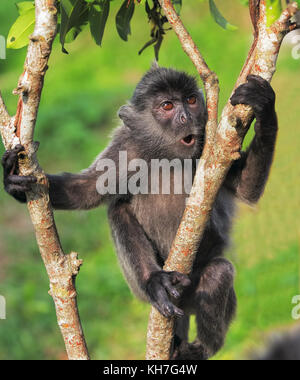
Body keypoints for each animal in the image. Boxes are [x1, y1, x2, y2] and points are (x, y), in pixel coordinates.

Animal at [1, 67, 278, 360]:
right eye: (167, 106)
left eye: (191, 100)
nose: (186, 117)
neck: (167, 156)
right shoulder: (128, 147)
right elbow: (86, 191)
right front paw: (13, 182)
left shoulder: (212, 144)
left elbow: (245, 188)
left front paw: (264, 106)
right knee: (118, 209)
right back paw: (154, 282)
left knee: (218, 274)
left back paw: (198, 350)